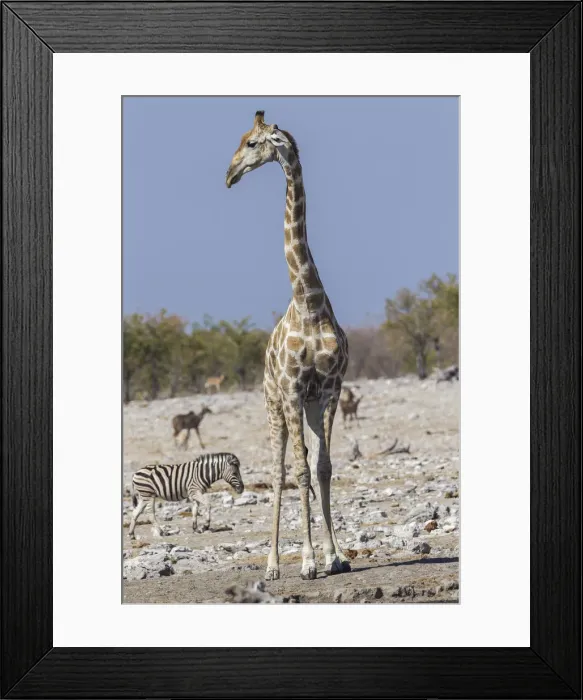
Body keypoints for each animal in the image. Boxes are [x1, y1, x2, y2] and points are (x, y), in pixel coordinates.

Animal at [226, 111, 351, 580]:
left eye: (252, 143)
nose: (229, 175)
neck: (308, 302)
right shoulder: (294, 390)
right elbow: (297, 471)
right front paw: (309, 562)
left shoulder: (329, 390)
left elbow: (322, 468)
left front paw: (335, 556)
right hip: (273, 406)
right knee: (278, 472)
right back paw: (273, 565)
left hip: (309, 408)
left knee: (309, 466)